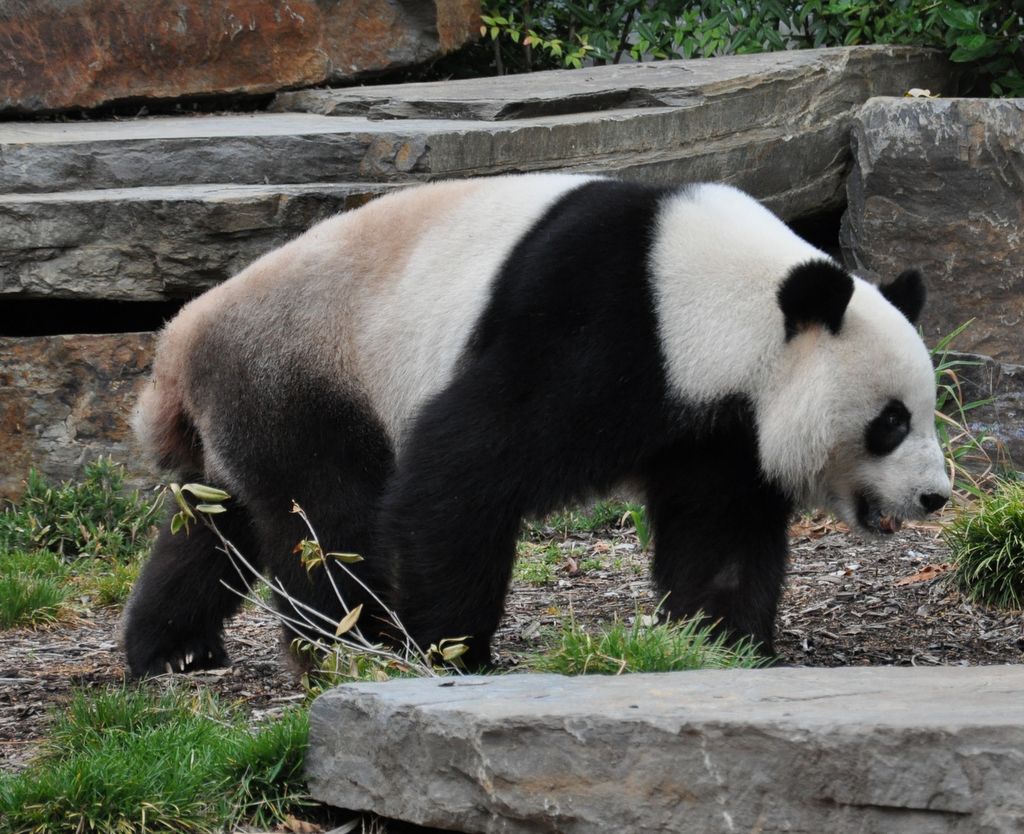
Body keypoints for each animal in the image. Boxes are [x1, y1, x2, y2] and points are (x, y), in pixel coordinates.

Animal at [122, 173, 951, 676]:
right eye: (890, 421)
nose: (935, 496)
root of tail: (179, 344)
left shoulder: (719, 419)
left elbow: (720, 526)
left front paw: (723, 642)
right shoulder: (600, 324)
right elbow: (460, 465)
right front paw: (452, 650)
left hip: (242, 409)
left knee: (216, 525)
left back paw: (170, 649)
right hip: (306, 373)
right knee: (328, 518)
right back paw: (356, 647)